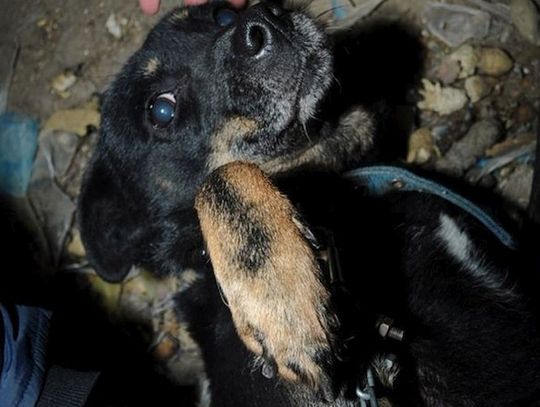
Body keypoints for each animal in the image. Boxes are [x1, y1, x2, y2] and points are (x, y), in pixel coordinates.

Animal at [79, 1, 540, 406]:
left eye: (221, 13)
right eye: (160, 109)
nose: (263, 20)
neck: (339, 185)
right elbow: (217, 177)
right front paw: (283, 304)